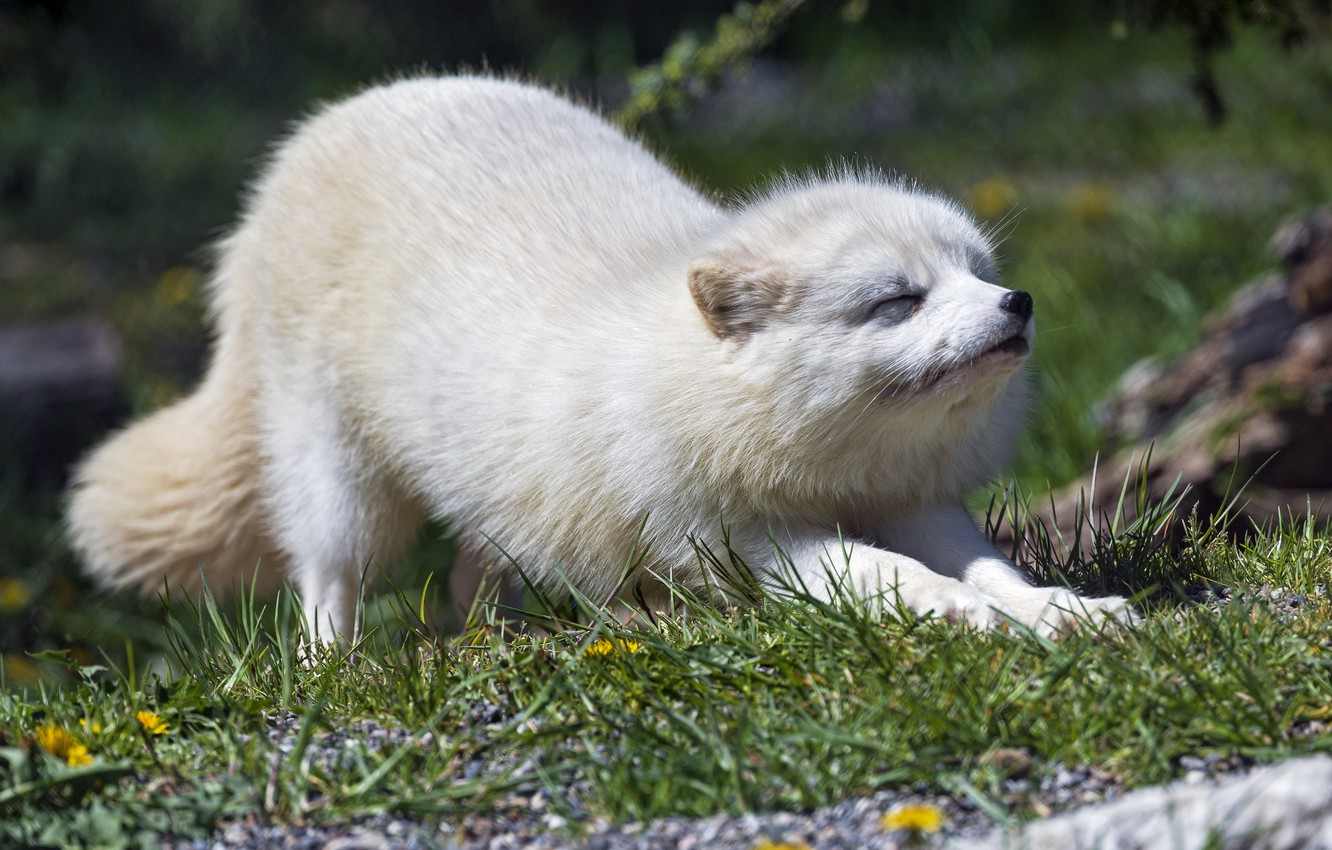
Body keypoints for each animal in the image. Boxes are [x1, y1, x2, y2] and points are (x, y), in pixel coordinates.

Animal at [67, 76, 1129, 642]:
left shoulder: (914, 499)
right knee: (326, 577)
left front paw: (1062, 610)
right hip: (341, 478)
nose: (1019, 305)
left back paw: (500, 633)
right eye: (898, 301)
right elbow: (888, 575)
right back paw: (335, 673)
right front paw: (976, 619)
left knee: (473, 570)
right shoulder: (737, 537)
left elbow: (986, 564)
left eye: (977, 272)